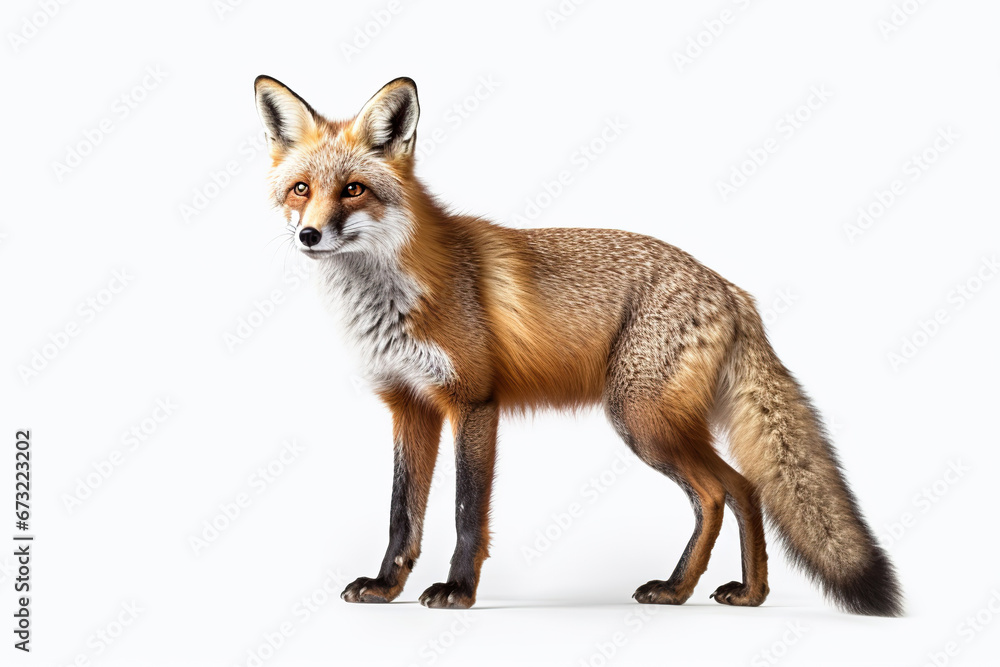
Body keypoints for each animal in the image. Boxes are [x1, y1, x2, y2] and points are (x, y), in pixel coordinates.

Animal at [253, 75, 903, 616]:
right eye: (301, 189)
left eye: (354, 189)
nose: (309, 235)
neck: (392, 298)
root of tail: (732, 290)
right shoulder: (409, 406)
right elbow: (400, 515)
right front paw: (387, 587)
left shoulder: (473, 402)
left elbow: (466, 512)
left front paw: (458, 591)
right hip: (660, 422)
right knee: (745, 487)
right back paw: (745, 593)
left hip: (640, 419)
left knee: (717, 492)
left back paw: (676, 589)